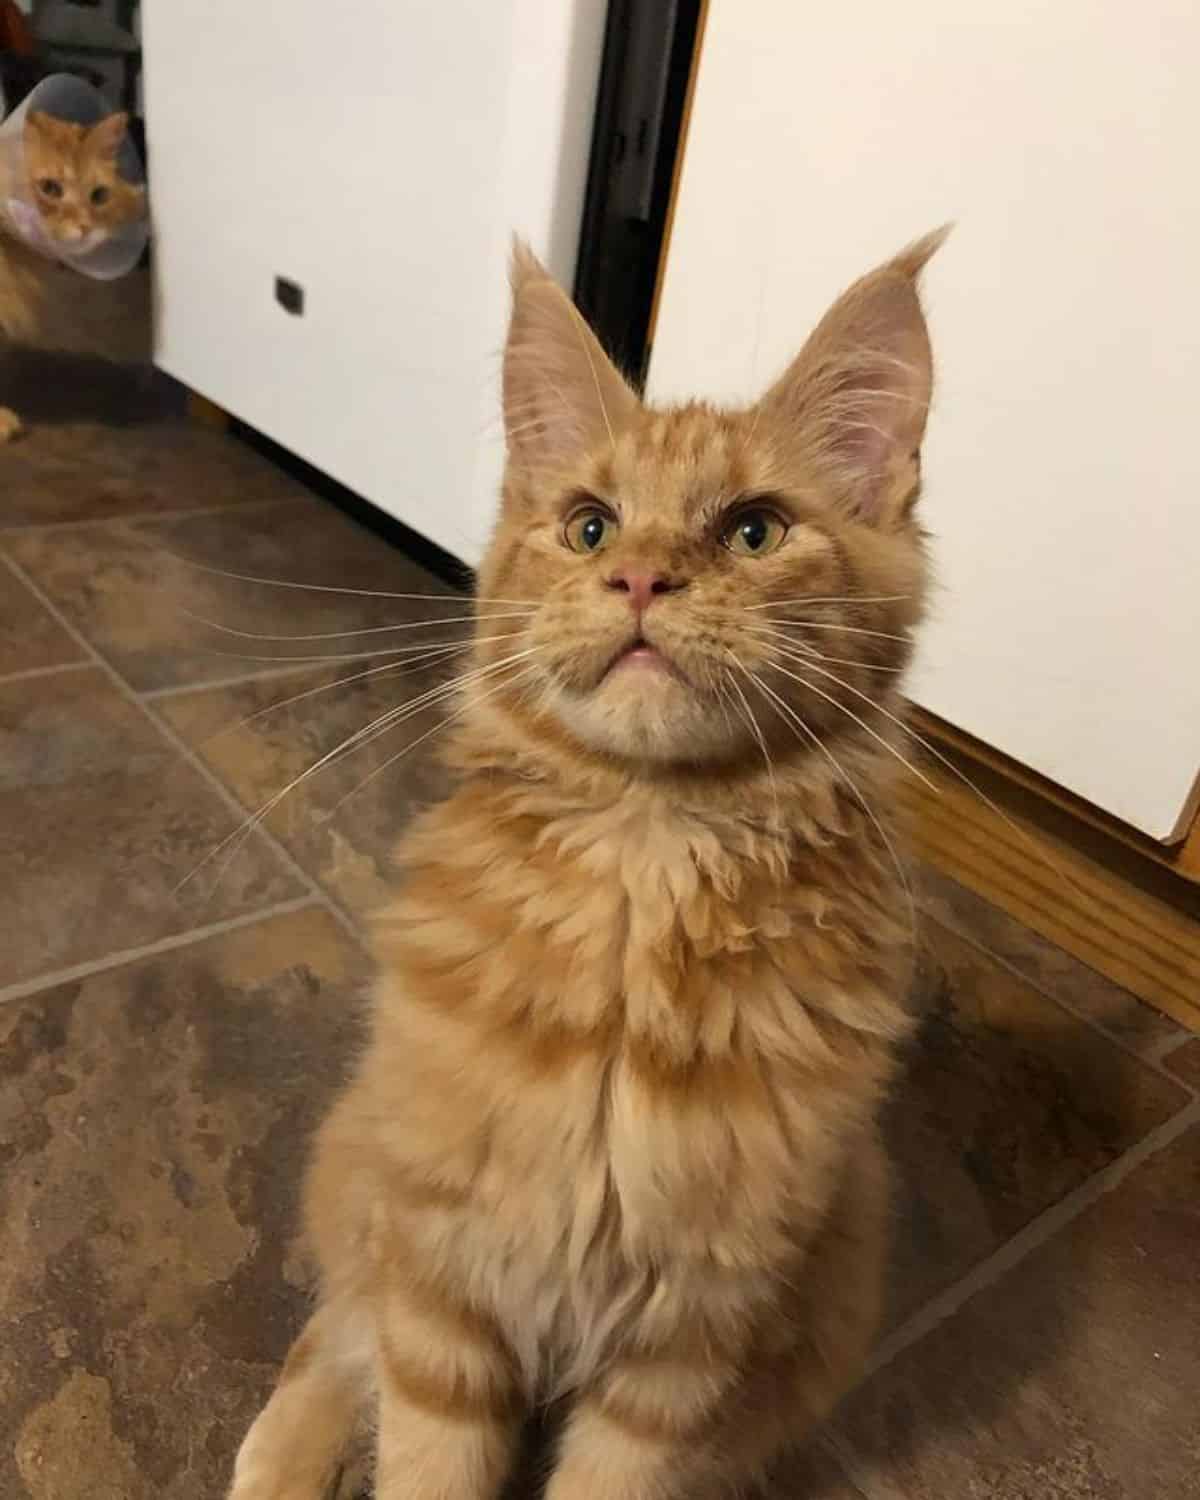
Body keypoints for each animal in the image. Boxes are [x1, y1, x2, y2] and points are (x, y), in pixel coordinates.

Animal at [229, 225, 948, 1500]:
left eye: (754, 531)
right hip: (373, 1152)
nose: (642, 579)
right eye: (590, 528)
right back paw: (275, 1461)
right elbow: (418, 1444)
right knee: (336, 1327)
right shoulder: (445, 1290)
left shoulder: (688, 1349)